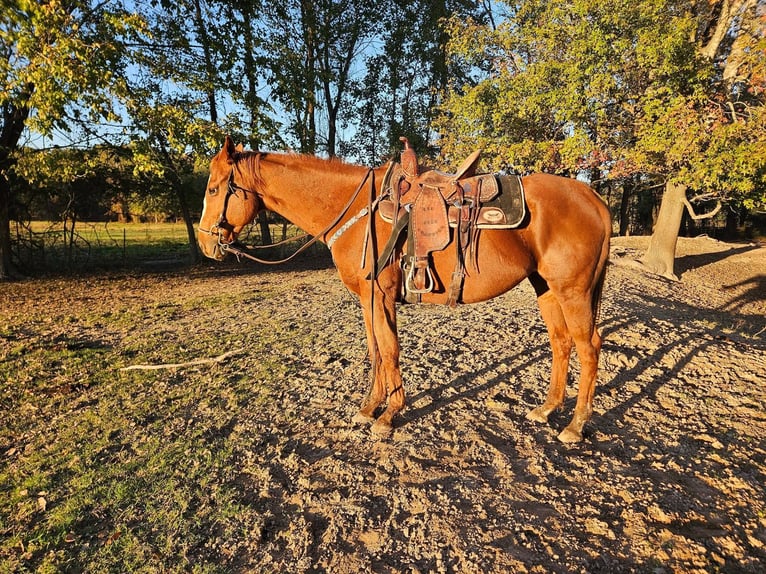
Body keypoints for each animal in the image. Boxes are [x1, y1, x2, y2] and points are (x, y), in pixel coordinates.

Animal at [196, 138, 612, 446]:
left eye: (214, 189)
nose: (205, 243)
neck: (359, 211)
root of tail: (594, 199)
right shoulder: (367, 300)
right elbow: (376, 351)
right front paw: (369, 407)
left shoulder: (380, 296)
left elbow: (390, 350)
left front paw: (389, 415)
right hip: (546, 288)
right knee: (561, 342)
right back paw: (546, 409)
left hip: (572, 291)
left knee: (588, 346)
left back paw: (575, 425)